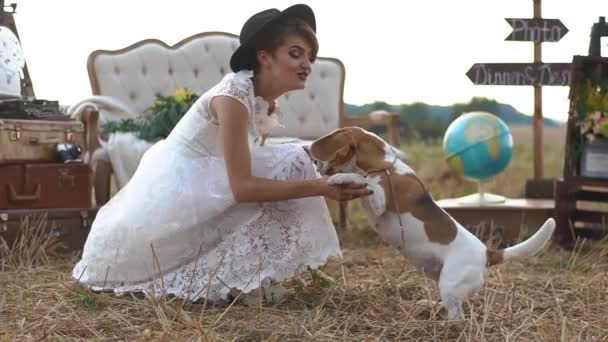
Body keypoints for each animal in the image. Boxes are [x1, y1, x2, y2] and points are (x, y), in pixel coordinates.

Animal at [312, 127, 552, 320]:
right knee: (451, 306)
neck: (385, 165)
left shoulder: (378, 200)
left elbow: (363, 180)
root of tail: (487, 253)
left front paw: (340, 179)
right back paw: (430, 305)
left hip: (449, 283)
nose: (314, 161)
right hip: (444, 281)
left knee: (457, 317)